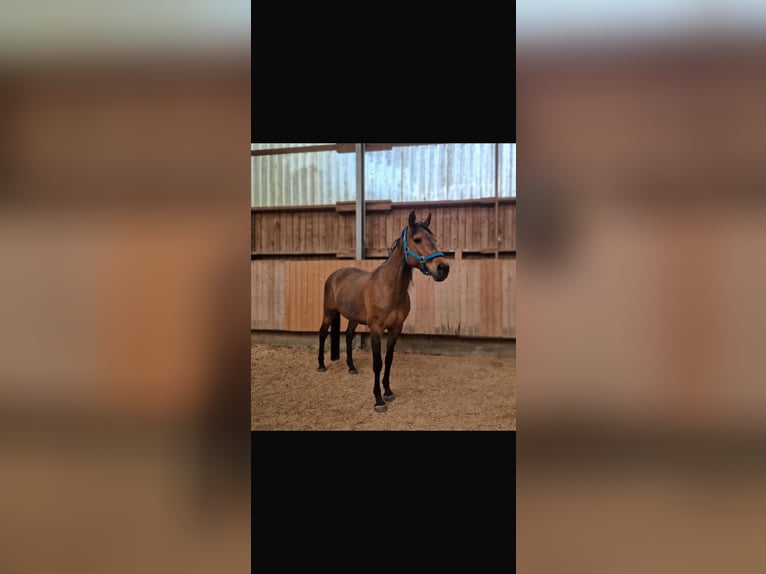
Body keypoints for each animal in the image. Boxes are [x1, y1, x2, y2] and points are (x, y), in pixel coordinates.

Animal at [317, 210, 450, 412]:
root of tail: (335, 275)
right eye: (417, 239)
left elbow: (388, 359)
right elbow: (377, 363)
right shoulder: (376, 330)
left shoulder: (396, 329)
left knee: (348, 335)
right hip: (328, 312)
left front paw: (387, 391)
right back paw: (321, 365)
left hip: (353, 318)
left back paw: (351, 367)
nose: (443, 268)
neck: (389, 288)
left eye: (434, 239)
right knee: (323, 333)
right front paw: (378, 400)